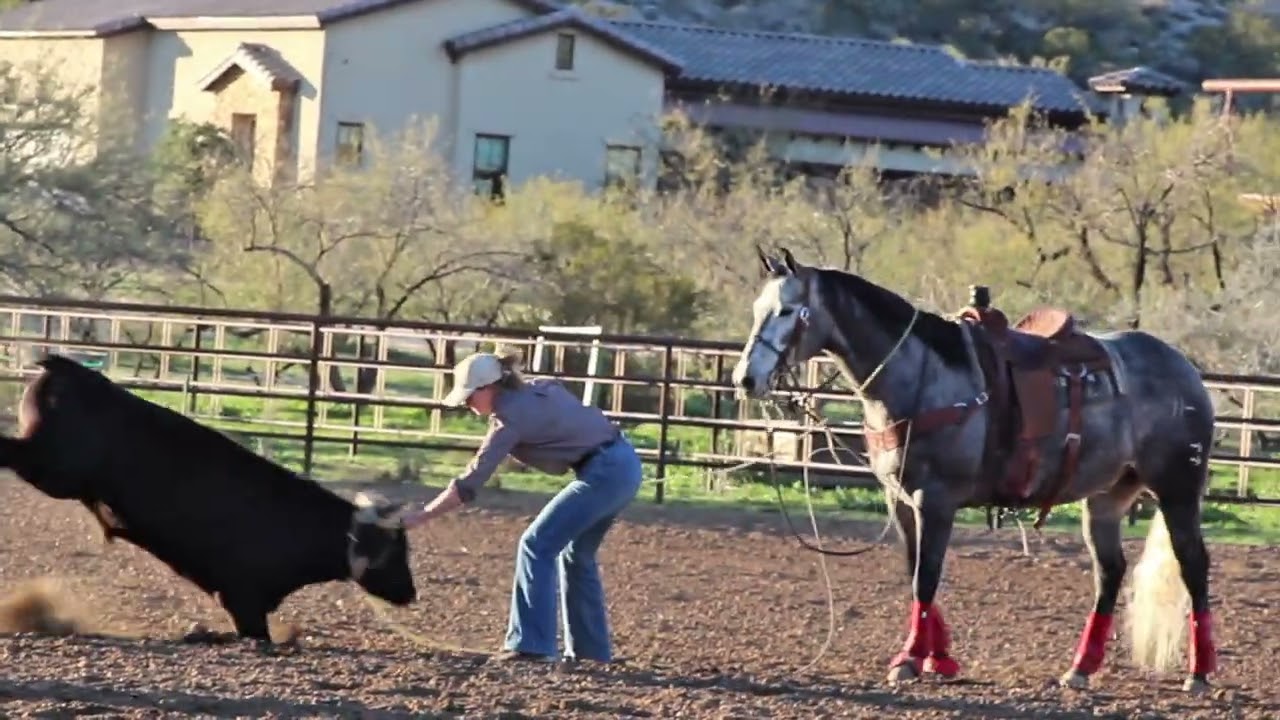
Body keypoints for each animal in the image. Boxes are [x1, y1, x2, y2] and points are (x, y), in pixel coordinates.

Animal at [730, 247, 1217, 693]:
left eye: (788, 310)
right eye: (756, 310)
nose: (745, 379)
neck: (923, 377)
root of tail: (1185, 370)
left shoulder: (936, 500)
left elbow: (926, 579)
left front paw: (910, 660)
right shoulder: (901, 501)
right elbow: (914, 571)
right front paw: (938, 658)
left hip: (1177, 488)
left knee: (1193, 564)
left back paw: (1199, 672)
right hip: (1107, 496)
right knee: (1110, 571)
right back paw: (1081, 668)